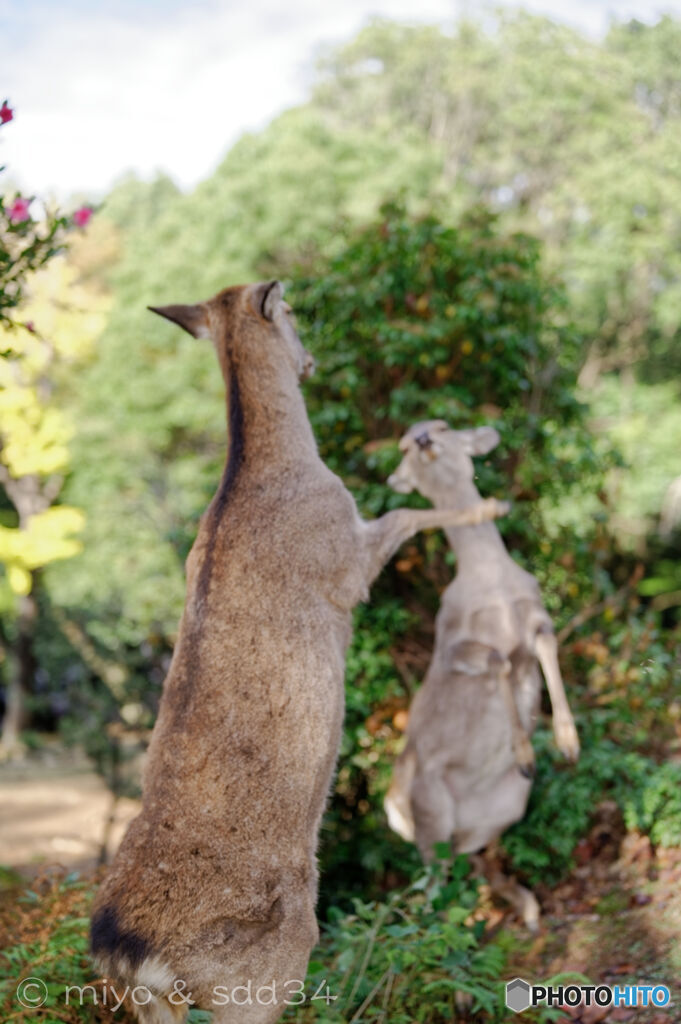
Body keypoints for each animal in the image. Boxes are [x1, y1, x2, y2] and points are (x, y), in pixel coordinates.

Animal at [89, 282, 503, 1024]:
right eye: (293, 314)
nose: (310, 359)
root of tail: (131, 953)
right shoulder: (346, 556)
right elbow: (407, 515)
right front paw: (486, 508)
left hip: (152, 1005)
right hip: (261, 980)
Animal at [382, 419, 577, 933]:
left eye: (443, 426)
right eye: (404, 445)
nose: (422, 438)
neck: (491, 581)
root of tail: (395, 813)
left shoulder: (538, 612)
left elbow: (546, 647)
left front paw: (568, 743)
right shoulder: (451, 642)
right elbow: (498, 660)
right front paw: (526, 751)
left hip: (504, 808)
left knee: (468, 856)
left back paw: (526, 908)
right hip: (428, 809)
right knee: (430, 881)